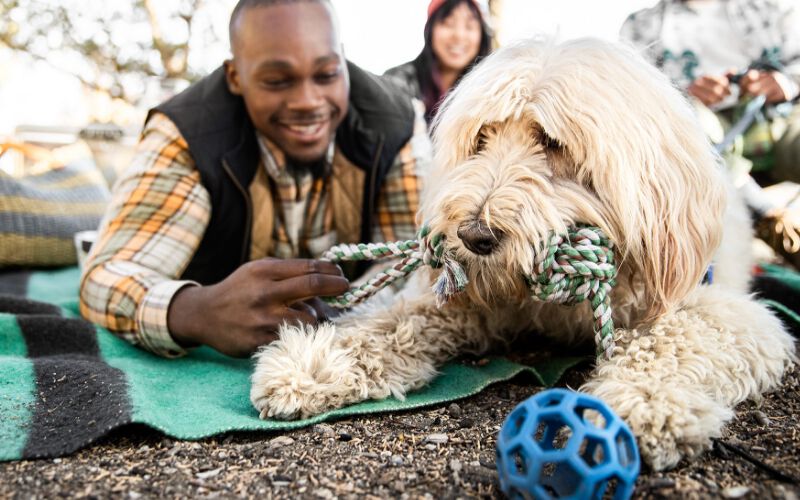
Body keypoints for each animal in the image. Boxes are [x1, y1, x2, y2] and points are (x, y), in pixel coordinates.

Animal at [248, 38, 792, 468]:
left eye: (551, 141)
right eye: (482, 138)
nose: (473, 235)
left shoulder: (718, 309)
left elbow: (671, 342)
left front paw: (642, 403)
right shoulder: (472, 303)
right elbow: (395, 322)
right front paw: (313, 364)